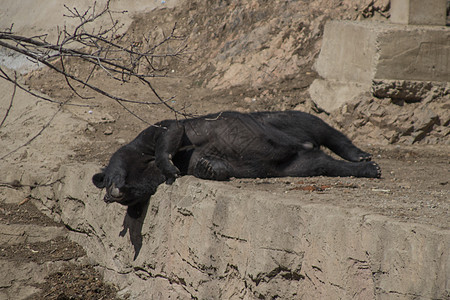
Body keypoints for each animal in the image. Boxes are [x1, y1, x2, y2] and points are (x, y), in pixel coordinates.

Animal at [93, 110, 382, 218]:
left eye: (109, 181)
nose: (112, 194)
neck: (144, 164)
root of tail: (304, 145)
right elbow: (210, 165)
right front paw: (209, 168)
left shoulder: (150, 137)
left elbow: (170, 132)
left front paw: (170, 167)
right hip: (296, 164)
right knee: (322, 164)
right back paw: (366, 168)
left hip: (275, 120)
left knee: (319, 126)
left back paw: (361, 155)